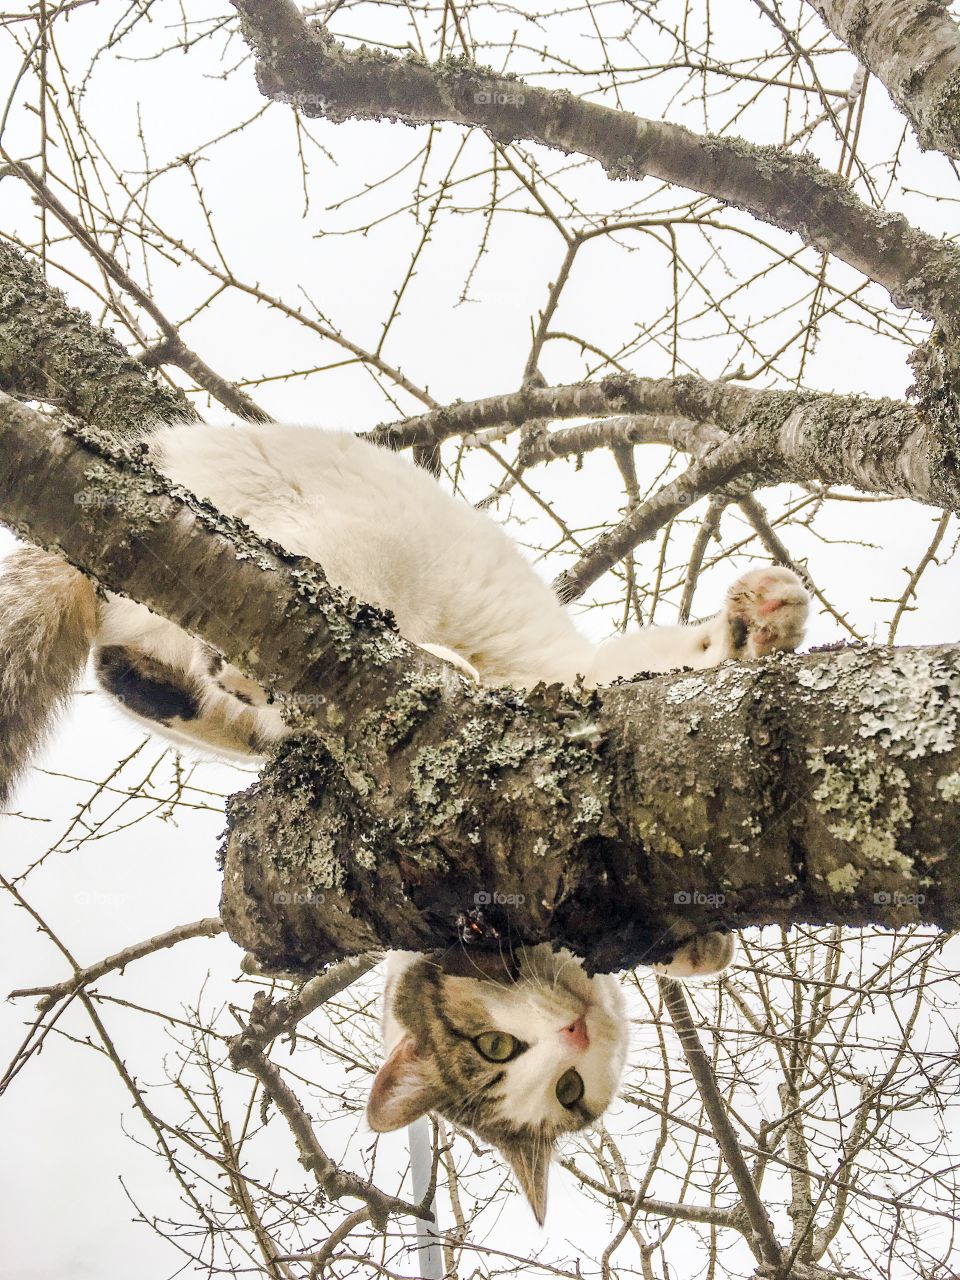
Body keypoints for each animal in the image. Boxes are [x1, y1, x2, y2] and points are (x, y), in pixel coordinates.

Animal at [0, 422, 814, 1218]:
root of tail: (156, 448)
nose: (573, 1030)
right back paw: (427, 663)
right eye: (499, 1051)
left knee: (143, 673)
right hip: (337, 553)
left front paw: (765, 618)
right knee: (279, 635)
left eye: (566, 1084)